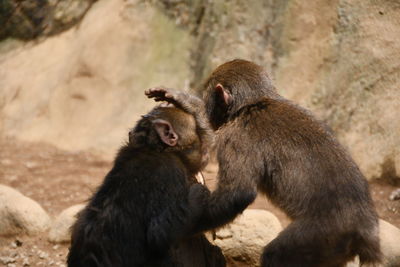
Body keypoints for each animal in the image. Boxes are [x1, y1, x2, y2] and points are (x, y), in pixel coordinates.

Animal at [67, 101, 227, 266]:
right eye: (199, 132)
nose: (207, 148)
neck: (155, 149)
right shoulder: (170, 172)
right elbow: (158, 234)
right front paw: (199, 192)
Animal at [147, 59, 382, 267]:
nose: (207, 105)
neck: (256, 103)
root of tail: (366, 229)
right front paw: (185, 100)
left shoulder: (237, 137)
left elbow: (238, 194)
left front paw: (184, 228)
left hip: (324, 235)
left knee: (277, 256)